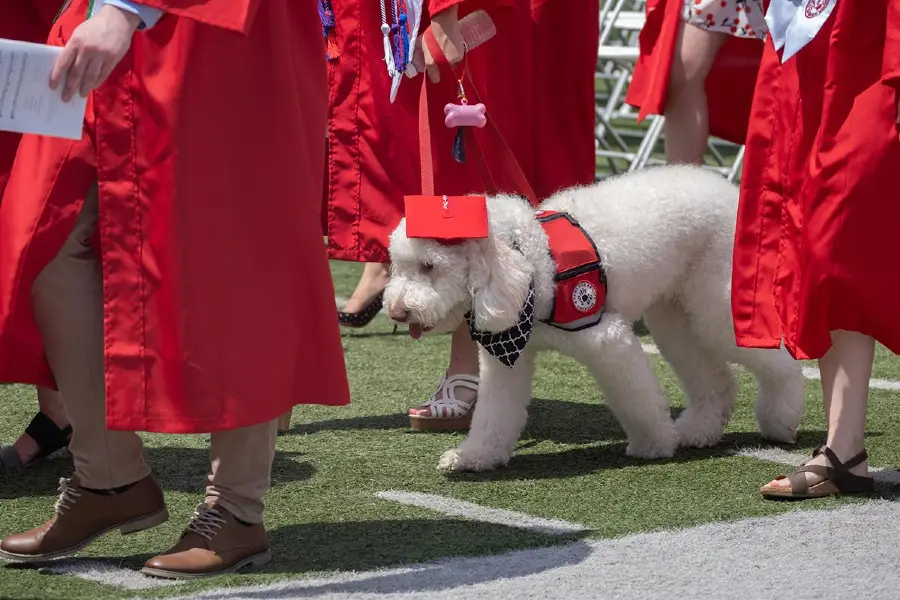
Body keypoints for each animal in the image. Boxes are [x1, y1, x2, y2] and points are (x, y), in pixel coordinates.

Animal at [384, 165, 804, 474]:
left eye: (430, 266)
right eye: (397, 266)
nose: (398, 311)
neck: (531, 261)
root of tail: (730, 191)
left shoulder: (608, 340)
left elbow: (637, 399)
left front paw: (653, 444)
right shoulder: (507, 358)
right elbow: (494, 414)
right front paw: (474, 457)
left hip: (716, 307)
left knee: (780, 363)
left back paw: (781, 420)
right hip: (675, 317)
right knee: (716, 381)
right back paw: (697, 431)